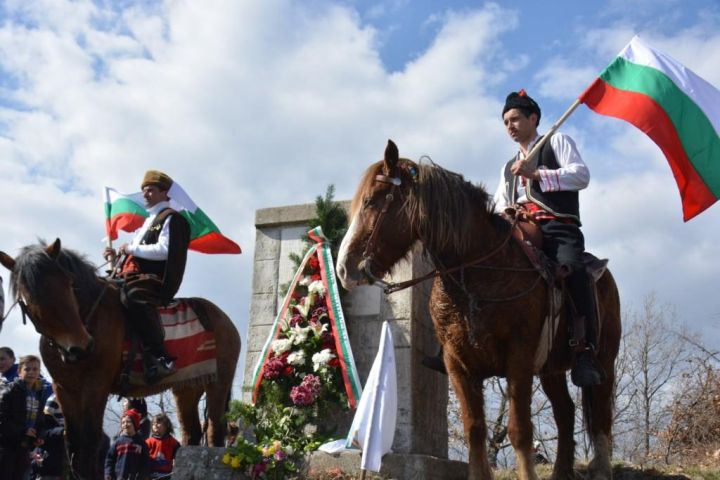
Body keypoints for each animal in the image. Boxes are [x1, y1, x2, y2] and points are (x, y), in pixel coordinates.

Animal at [0, 240, 242, 480]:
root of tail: (224, 319)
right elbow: (74, 441)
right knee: (191, 433)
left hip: (218, 383)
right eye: (29, 296)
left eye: (68, 283)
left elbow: (90, 440)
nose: (80, 347)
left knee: (214, 431)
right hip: (187, 388)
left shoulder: (96, 386)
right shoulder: (65, 389)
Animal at [334, 140, 620, 480]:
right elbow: (475, 430)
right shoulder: (458, 363)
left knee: (600, 415)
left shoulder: (519, 357)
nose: (343, 269)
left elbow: (519, 430)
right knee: (566, 413)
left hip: (603, 361)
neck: (480, 270)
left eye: (371, 201)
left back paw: (600, 468)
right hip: (551, 370)